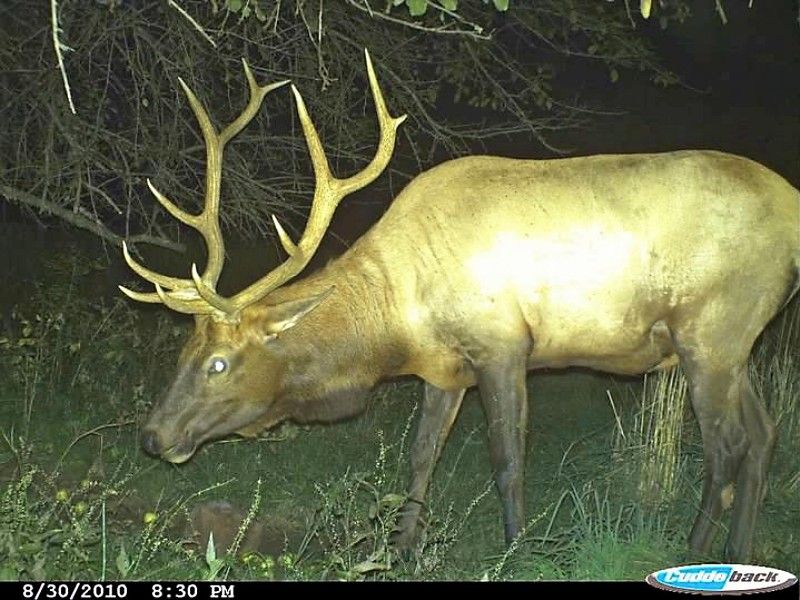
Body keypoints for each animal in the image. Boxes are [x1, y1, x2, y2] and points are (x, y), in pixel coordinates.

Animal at [120, 50, 800, 562]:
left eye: (218, 363)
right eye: (183, 351)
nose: (153, 436)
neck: (399, 325)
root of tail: (793, 212)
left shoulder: (503, 345)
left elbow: (507, 458)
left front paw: (517, 550)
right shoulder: (445, 370)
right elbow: (421, 458)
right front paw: (400, 549)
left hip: (712, 329)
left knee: (728, 445)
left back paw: (694, 551)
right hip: (735, 341)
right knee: (765, 435)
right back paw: (739, 552)